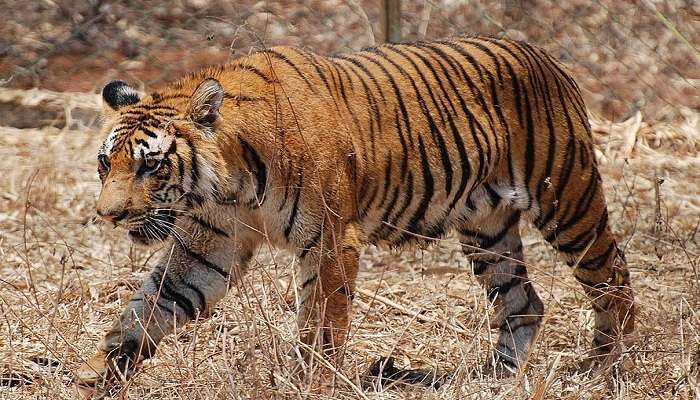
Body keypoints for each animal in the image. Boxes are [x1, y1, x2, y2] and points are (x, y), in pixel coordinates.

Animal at [75, 36, 636, 390]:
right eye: (106, 162)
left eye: (150, 165)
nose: (108, 216)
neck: (228, 184)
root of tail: (548, 59)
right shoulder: (208, 247)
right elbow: (147, 310)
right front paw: (96, 375)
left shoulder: (328, 241)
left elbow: (321, 324)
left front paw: (309, 383)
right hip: (487, 229)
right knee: (523, 301)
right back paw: (492, 378)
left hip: (568, 202)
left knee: (613, 278)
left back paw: (607, 367)